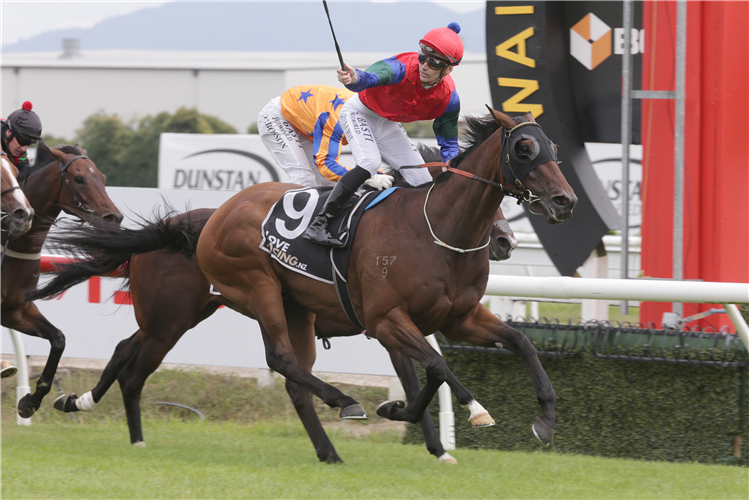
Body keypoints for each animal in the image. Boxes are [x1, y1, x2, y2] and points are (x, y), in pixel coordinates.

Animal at [1, 143, 121, 420]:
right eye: (79, 179)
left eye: (102, 178)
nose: (114, 218)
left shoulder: (15, 309)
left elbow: (58, 339)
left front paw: (29, 402)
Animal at [32, 109, 576, 450]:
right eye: (524, 147)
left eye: (555, 147)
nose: (566, 200)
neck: (435, 230)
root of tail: (203, 222)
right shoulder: (387, 320)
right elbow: (439, 368)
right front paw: (474, 409)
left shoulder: (458, 317)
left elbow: (519, 345)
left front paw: (545, 420)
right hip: (242, 294)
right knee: (278, 360)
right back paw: (344, 402)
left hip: (190, 313)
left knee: (130, 351)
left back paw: (77, 401)